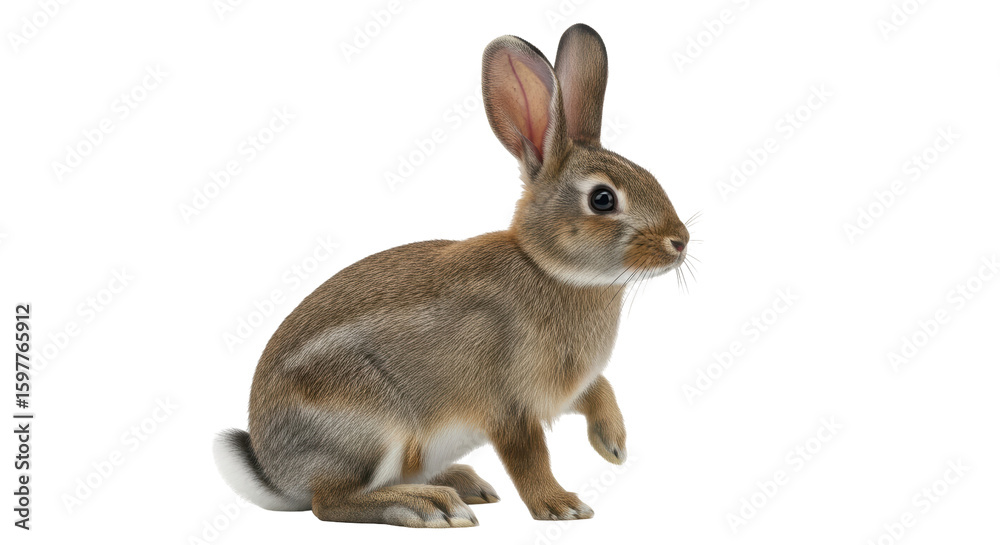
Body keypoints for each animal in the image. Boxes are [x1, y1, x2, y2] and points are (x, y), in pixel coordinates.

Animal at [214, 23, 689, 528]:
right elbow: (529, 457)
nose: (680, 241)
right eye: (602, 199)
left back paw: (464, 484)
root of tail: (275, 473)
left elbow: (600, 389)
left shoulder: (570, 388)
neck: (547, 267)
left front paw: (613, 444)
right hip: (369, 426)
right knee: (331, 502)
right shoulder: (509, 407)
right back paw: (430, 505)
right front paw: (561, 506)